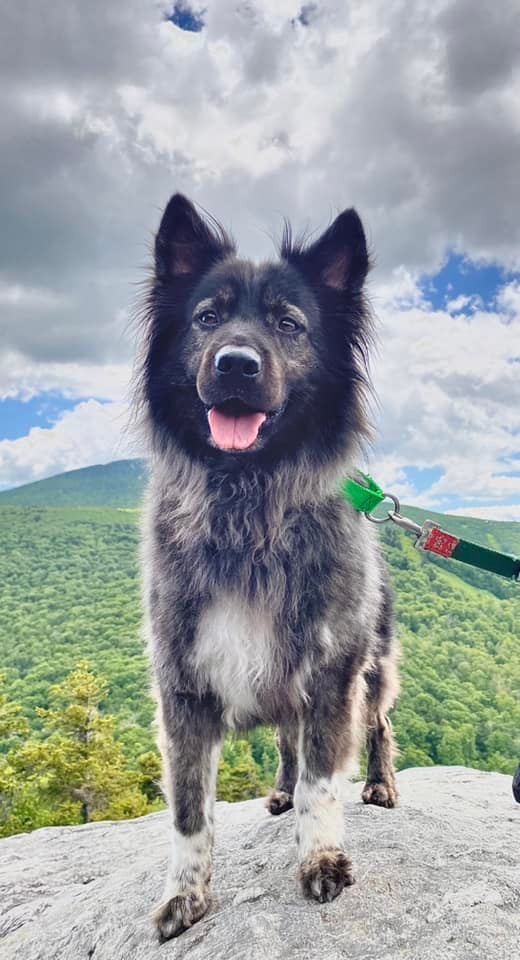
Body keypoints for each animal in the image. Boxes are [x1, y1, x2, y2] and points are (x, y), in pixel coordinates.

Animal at [136, 193, 400, 936]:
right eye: (207, 317)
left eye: (289, 324)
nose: (235, 365)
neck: (248, 502)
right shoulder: (183, 684)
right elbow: (189, 811)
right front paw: (186, 896)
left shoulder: (332, 669)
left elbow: (322, 781)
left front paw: (320, 861)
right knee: (285, 741)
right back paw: (279, 792)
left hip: (372, 668)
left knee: (377, 727)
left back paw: (380, 782)